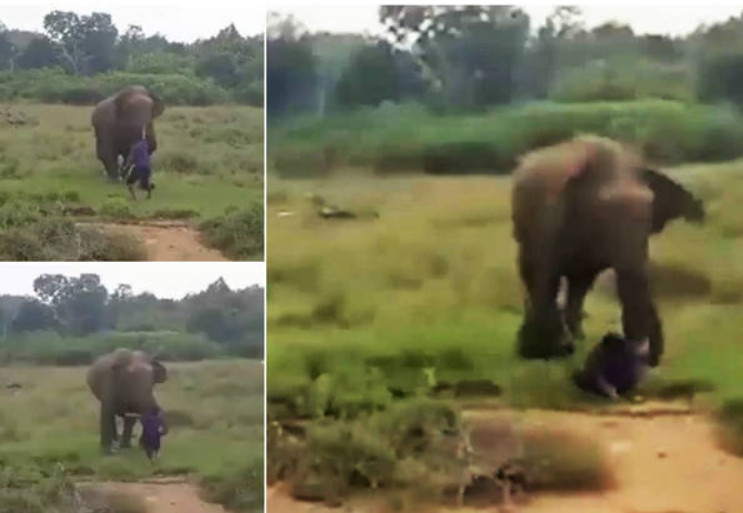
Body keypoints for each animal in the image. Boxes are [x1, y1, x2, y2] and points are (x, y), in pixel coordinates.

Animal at [511, 136, 705, 366]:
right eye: (602, 213)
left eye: (649, 214)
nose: (650, 359)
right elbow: (561, 277)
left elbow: (584, 280)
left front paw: (570, 343)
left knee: (561, 279)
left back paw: (565, 341)